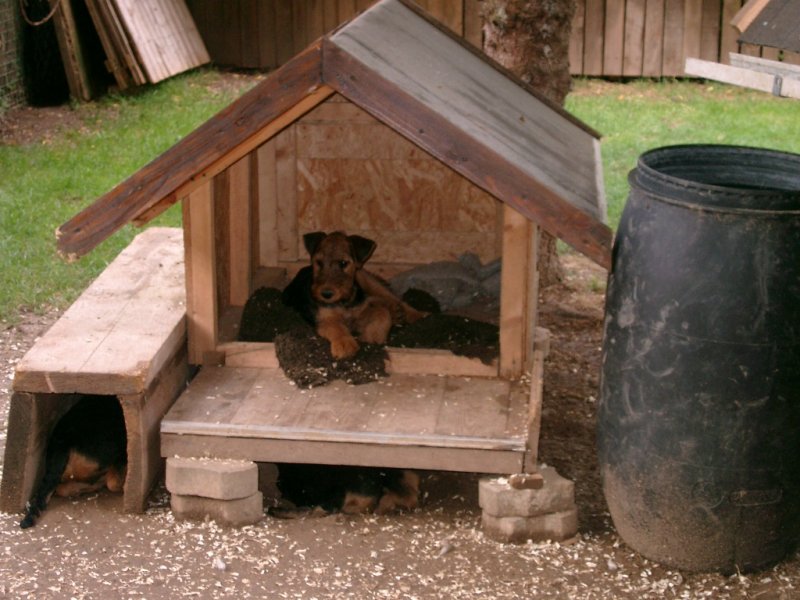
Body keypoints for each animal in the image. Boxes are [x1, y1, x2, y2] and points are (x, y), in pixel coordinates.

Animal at [282, 231, 426, 359]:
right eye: (319, 262)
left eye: (343, 263)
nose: (326, 294)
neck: (344, 301)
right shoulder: (324, 319)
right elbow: (337, 327)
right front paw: (345, 345)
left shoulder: (360, 312)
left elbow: (382, 314)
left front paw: (372, 337)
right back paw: (397, 313)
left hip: (366, 279)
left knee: (392, 298)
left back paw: (417, 314)